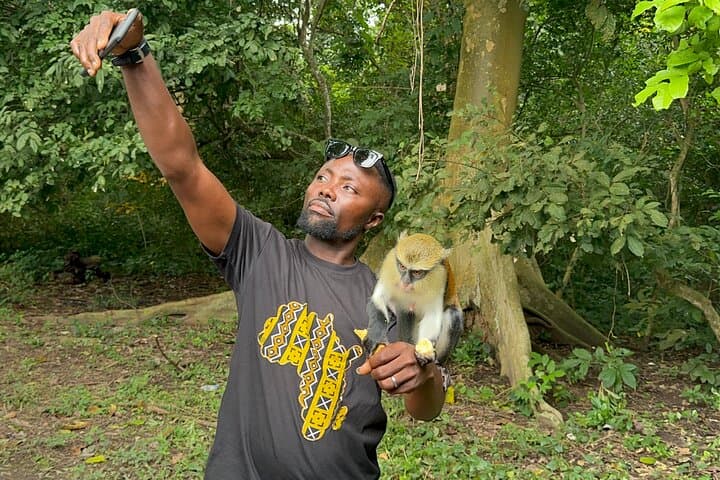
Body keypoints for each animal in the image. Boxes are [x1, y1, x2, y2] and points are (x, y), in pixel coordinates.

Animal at [356, 232, 463, 366]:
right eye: (402, 266)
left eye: (417, 272)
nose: (405, 282)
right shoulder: (390, 265)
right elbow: (378, 299)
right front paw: (375, 337)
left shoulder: (440, 278)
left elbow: (432, 315)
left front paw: (424, 352)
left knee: (453, 314)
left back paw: (438, 363)